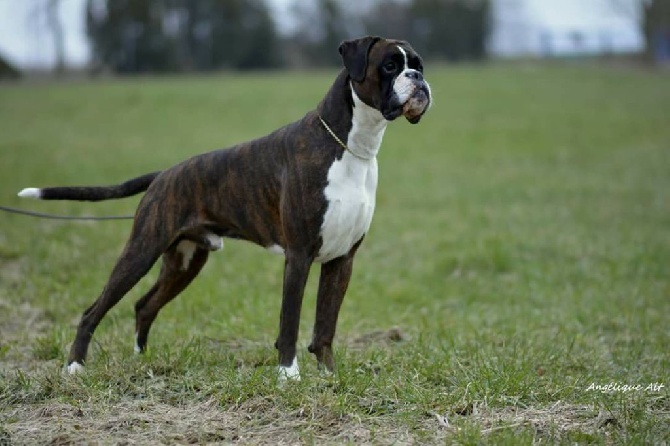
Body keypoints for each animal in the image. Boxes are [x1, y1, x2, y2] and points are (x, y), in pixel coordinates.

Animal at [19, 35, 436, 380]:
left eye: (417, 63)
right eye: (389, 66)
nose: (417, 77)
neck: (351, 145)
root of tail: (163, 175)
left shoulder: (341, 260)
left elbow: (325, 326)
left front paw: (329, 376)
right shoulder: (299, 256)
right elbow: (290, 323)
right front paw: (289, 376)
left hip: (184, 262)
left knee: (143, 305)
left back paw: (142, 359)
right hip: (141, 251)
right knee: (95, 310)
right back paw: (75, 367)